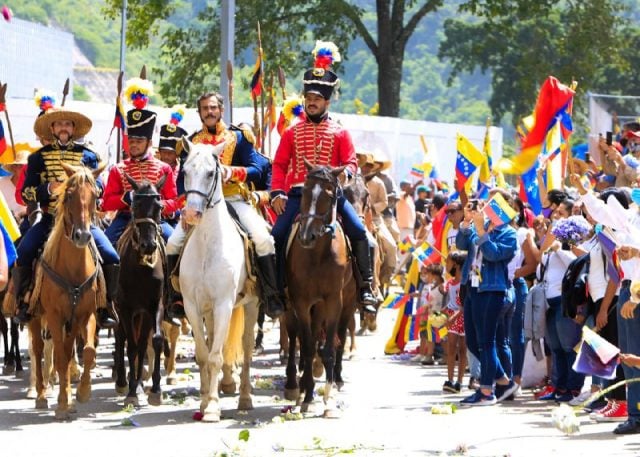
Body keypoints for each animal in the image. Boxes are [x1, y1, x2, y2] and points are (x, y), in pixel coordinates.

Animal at [28, 162, 104, 418]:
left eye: (95, 196)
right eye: (69, 195)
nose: (82, 236)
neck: (72, 268)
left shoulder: (84, 314)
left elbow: (86, 351)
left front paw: (81, 393)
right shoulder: (54, 315)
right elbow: (60, 357)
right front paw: (61, 403)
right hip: (34, 316)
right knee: (38, 350)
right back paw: (41, 395)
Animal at [179, 138, 258, 420]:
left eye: (211, 173)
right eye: (185, 171)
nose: (191, 214)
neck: (207, 244)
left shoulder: (224, 303)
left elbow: (216, 356)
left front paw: (213, 407)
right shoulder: (192, 305)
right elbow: (204, 354)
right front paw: (204, 401)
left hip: (251, 304)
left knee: (246, 348)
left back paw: (245, 397)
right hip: (210, 311)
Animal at [284, 160, 358, 416]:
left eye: (329, 194)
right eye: (304, 192)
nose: (307, 236)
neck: (317, 254)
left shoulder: (334, 300)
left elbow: (328, 346)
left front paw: (328, 397)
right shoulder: (301, 301)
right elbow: (306, 346)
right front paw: (306, 395)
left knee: (333, 335)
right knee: (297, 335)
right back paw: (294, 385)